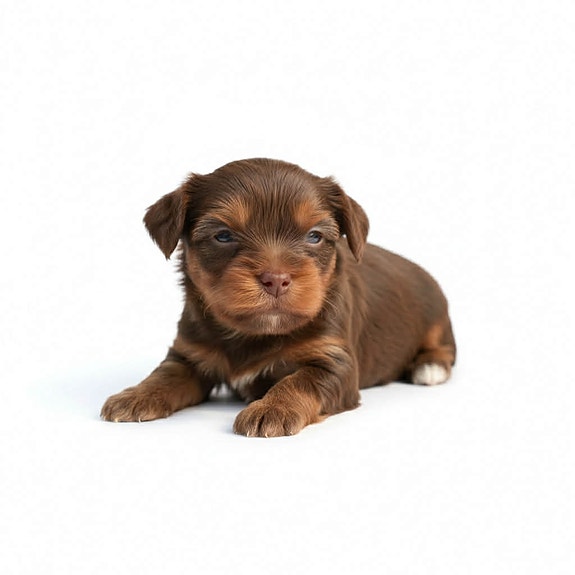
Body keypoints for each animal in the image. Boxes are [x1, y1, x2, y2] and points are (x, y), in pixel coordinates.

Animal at [101, 158, 456, 436]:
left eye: (314, 236)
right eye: (223, 236)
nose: (276, 280)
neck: (256, 332)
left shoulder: (334, 362)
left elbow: (300, 380)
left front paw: (271, 409)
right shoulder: (188, 353)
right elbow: (166, 374)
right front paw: (134, 395)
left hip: (438, 318)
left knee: (443, 348)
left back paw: (429, 368)